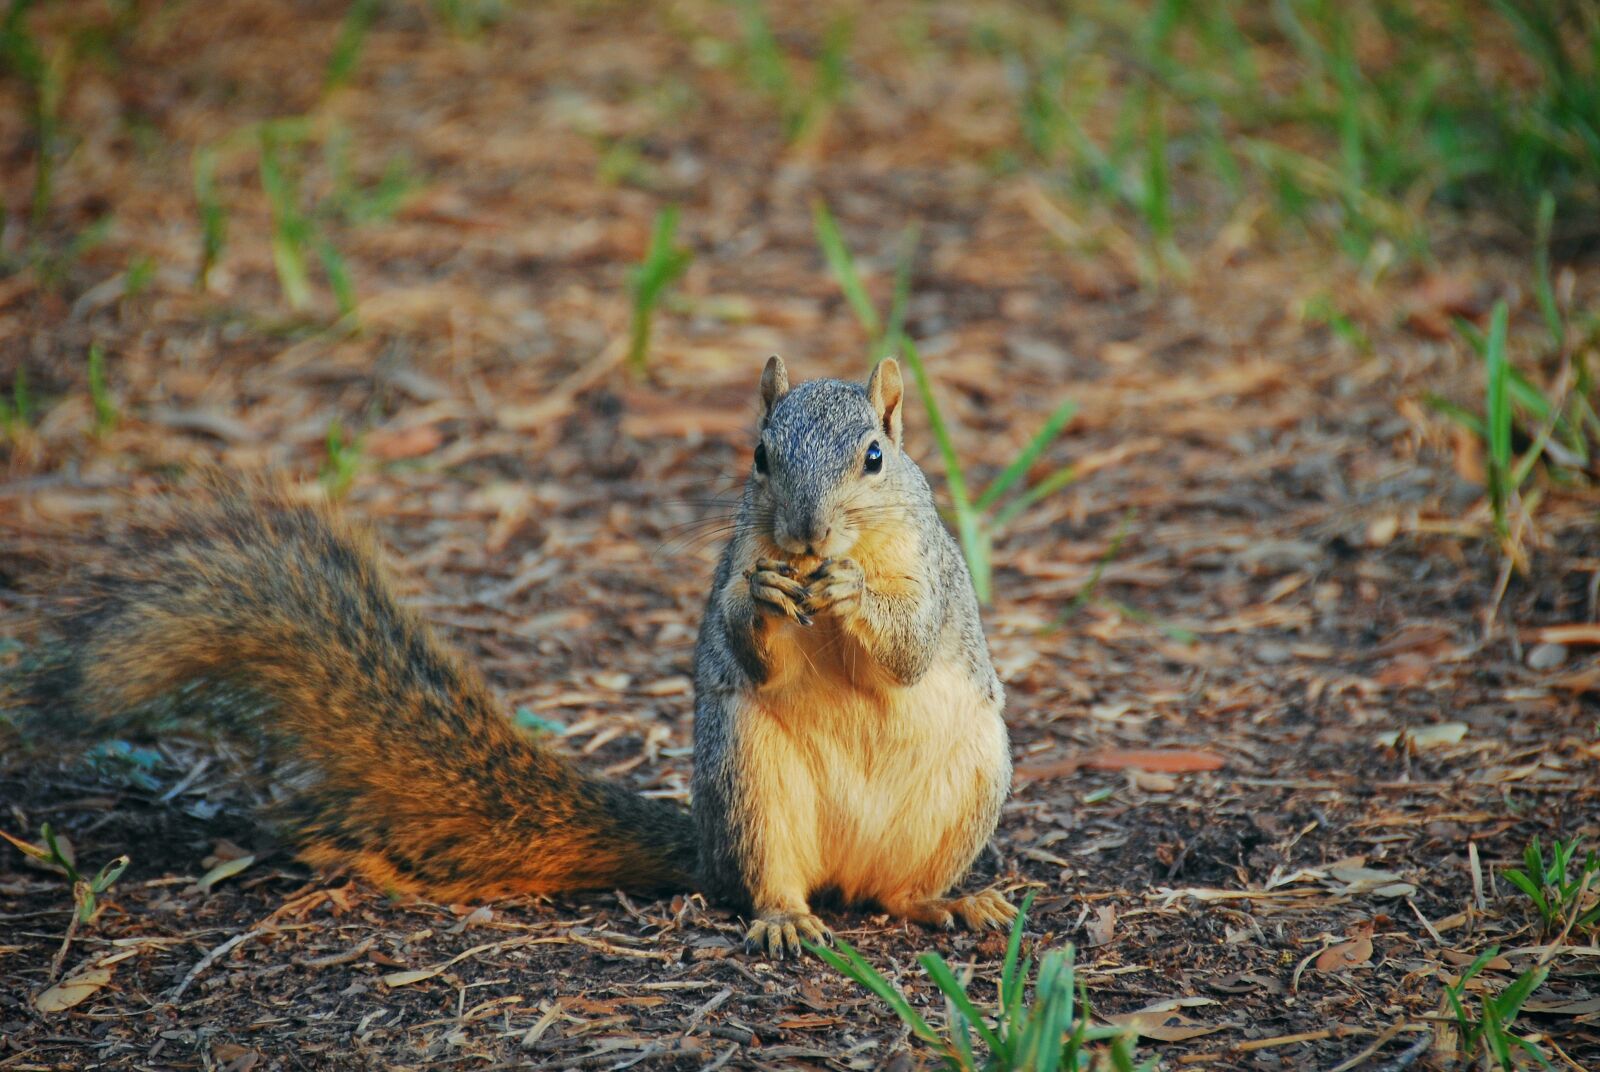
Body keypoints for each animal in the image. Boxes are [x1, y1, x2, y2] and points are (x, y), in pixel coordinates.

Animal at [22, 355, 1014, 958]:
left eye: (875, 457)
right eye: (760, 455)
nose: (805, 536)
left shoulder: (933, 575)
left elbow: (911, 646)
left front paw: (852, 596)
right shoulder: (737, 563)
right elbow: (748, 642)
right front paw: (768, 601)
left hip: (969, 782)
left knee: (894, 894)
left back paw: (950, 901)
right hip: (751, 784)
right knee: (775, 883)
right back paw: (782, 917)